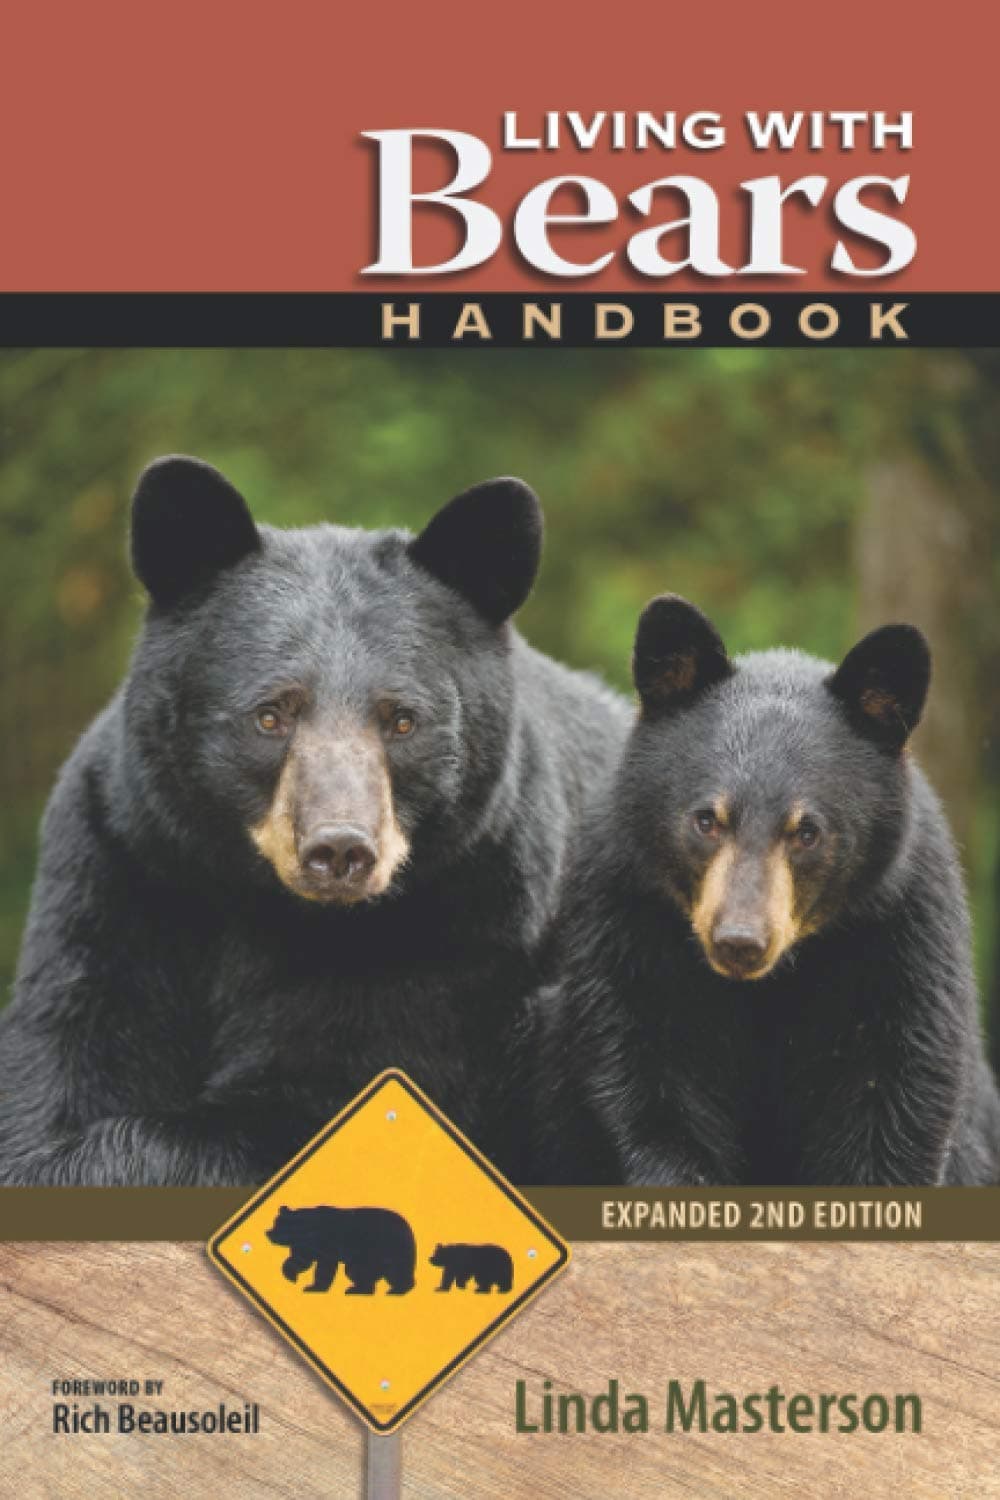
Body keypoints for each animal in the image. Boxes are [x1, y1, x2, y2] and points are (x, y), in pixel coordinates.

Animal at [0, 456, 630, 1185]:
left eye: (401, 719)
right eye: (270, 714)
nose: (340, 850)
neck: (266, 905)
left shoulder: (464, 925)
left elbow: (325, 1097)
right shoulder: (126, 865)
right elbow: (72, 1051)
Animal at [266, 1204, 416, 1294]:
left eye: (279, 1224)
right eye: (275, 1222)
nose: (268, 1233)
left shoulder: (326, 1244)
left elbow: (324, 1267)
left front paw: (315, 1287)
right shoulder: (305, 1246)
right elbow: (299, 1260)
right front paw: (291, 1276)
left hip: (383, 1248)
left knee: (366, 1270)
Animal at [535, 595, 1000, 1187]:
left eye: (807, 831)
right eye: (707, 819)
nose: (739, 941)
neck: (767, 987)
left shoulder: (899, 937)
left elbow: (893, 1098)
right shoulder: (629, 923)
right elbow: (650, 1079)